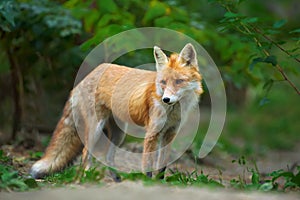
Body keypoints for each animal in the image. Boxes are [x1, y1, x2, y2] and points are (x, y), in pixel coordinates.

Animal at [29, 43, 204, 181]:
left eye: (178, 81)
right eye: (163, 82)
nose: (166, 99)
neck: (172, 111)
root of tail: (84, 79)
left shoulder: (170, 133)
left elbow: (161, 167)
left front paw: (160, 185)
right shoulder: (152, 133)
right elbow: (147, 166)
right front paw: (148, 184)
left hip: (119, 134)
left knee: (108, 156)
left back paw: (116, 179)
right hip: (96, 129)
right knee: (86, 154)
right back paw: (86, 179)